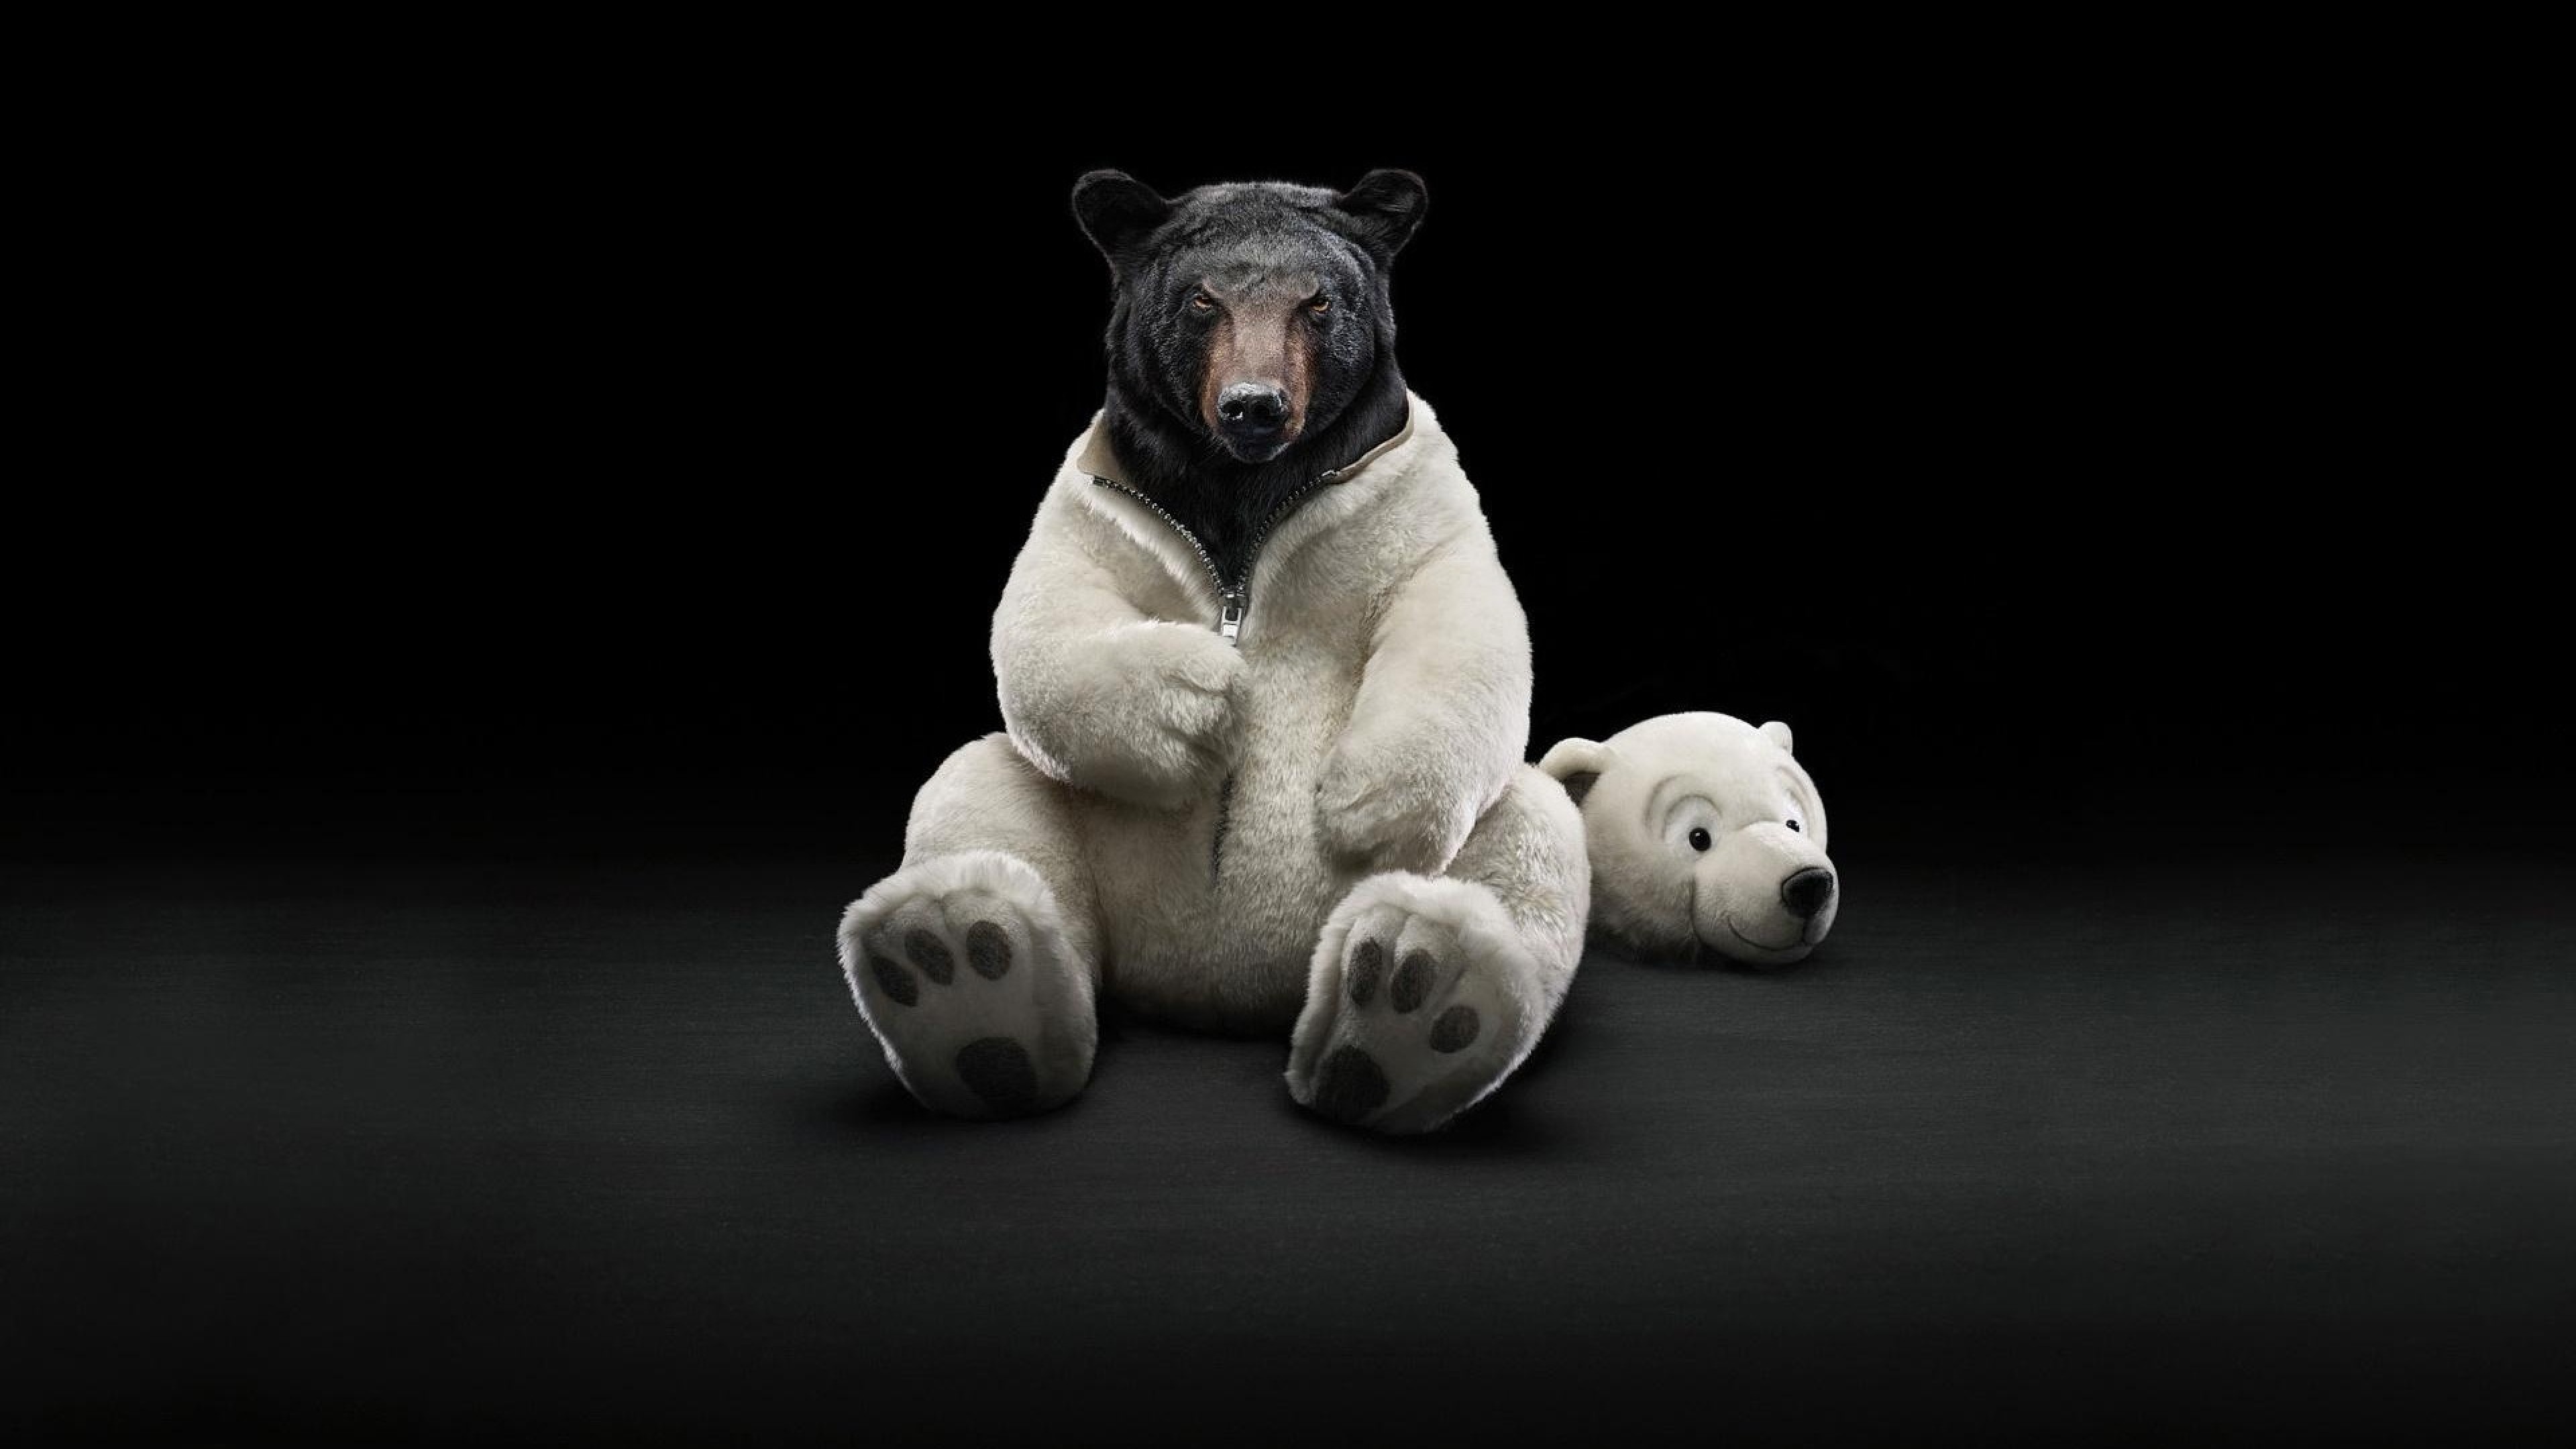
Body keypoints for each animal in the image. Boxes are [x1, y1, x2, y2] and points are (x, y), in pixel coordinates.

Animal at [836, 169, 1591, 1135]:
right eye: (1202, 301)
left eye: (1318, 302)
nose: (1255, 406)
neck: (1243, 487)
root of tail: (1217, 994)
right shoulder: (1097, 502)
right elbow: (1048, 616)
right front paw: (1202, 702)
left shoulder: (1414, 499)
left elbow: (1459, 613)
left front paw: (1364, 803)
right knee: (983, 795)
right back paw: (962, 976)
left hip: (1485, 842)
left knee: (1525, 834)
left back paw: (1409, 1005)